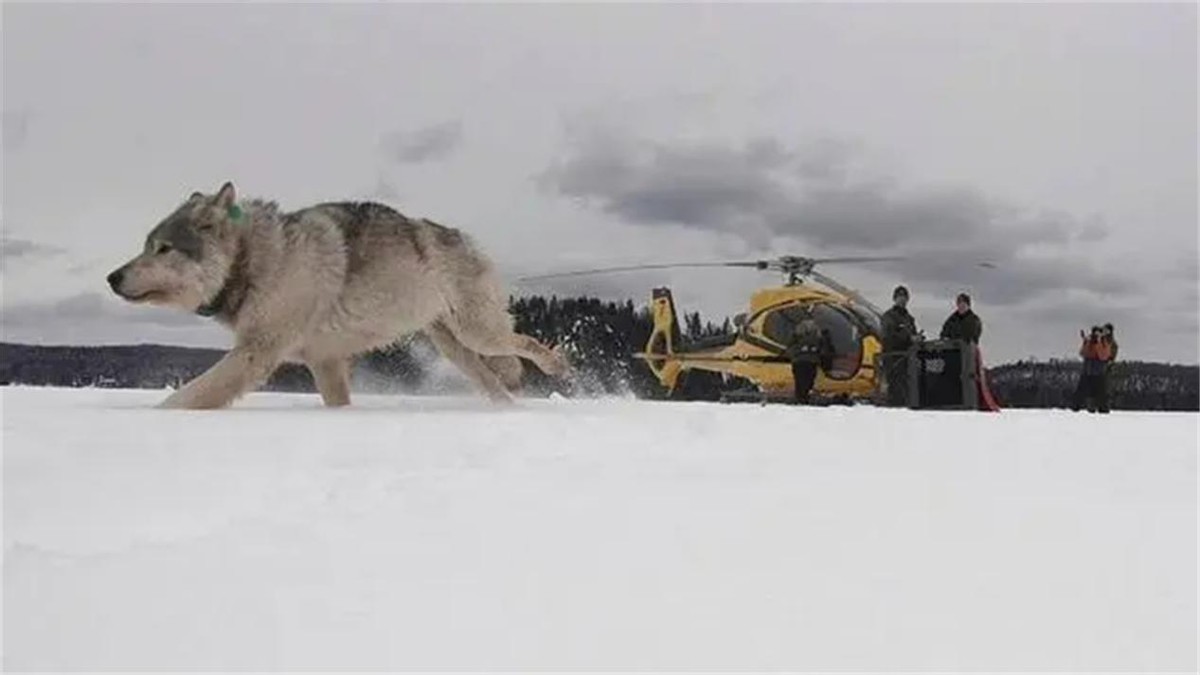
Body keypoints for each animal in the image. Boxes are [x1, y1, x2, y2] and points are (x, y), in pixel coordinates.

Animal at [106, 178, 566, 408]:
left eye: (163, 248)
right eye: (146, 245)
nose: (112, 277)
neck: (257, 261)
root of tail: (463, 236)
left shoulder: (256, 353)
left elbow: (186, 397)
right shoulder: (324, 361)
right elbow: (338, 404)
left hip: (478, 334)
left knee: (525, 343)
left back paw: (557, 365)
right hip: (455, 349)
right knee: (498, 384)